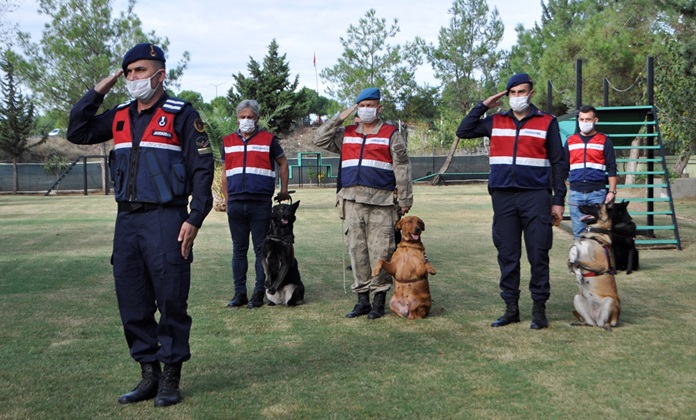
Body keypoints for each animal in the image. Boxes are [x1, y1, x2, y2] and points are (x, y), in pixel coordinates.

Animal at [568, 203, 624, 332]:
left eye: (596, 205)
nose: (579, 205)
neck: (592, 234)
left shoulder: (599, 264)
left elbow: (577, 259)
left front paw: (574, 263)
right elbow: (574, 250)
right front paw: (578, 274)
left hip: (609, 301)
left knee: (602, 323)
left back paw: (607, 327)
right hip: (577, 298)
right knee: (592, 323)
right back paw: (581, 323)